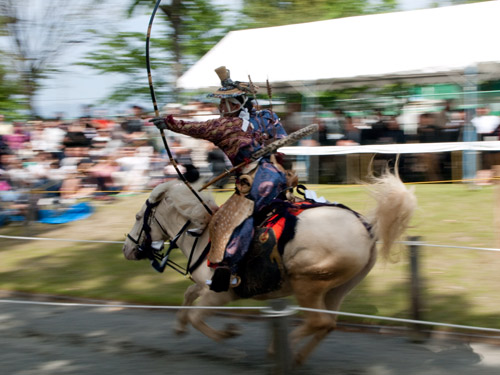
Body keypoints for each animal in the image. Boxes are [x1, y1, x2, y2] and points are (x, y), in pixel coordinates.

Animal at [123, 172, 416, 366]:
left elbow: (197, 316)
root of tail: (367, 227)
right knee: (327, 324)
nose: (127, 248)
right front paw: (179, 327)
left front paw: (230, 342)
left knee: (318, 322)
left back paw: (280, 351)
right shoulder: (206, 285)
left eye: (138, 217)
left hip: (306, 281)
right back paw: (294, 355)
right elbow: (188, 295)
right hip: (339, 288)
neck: (204, 236)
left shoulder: (221, 293)